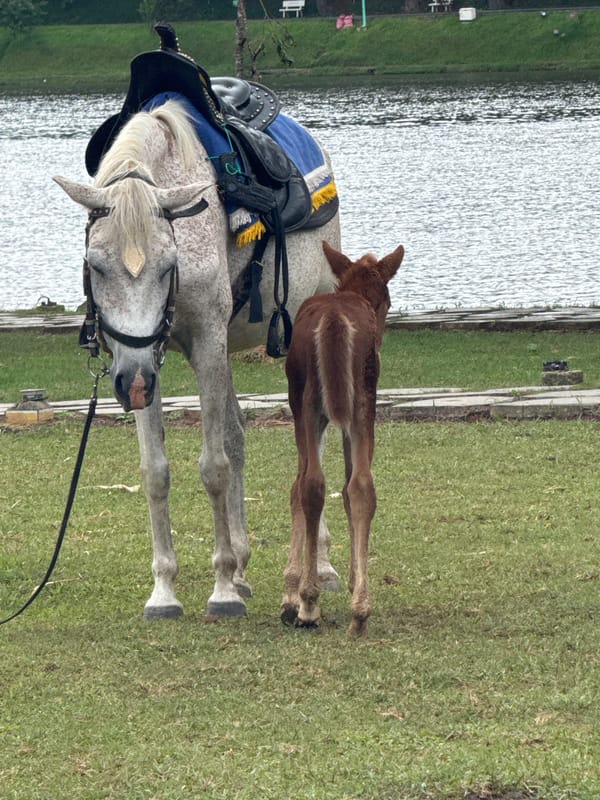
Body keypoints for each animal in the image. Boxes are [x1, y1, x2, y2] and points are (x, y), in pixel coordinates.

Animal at [54, 95, 341, 620]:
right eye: (95, 265)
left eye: (169, 265)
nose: (133, 384)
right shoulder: (144, 358)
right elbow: (157, 471)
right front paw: (165, 591)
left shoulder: (206, 343)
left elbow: (213, 465)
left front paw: (222, 589)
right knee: (237, 434)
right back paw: (245, 567)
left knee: (317, 432)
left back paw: (323, 567)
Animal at [281, 241, 405, 636]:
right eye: (387, 302)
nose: (380, 342)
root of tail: (334, 321)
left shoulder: (302, 410)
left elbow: (297, 487)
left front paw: (291, 595)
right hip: (361, 401)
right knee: (360, 485)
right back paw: (359, 610)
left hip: (312, 403)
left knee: (315, 484)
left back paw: (310, 604)